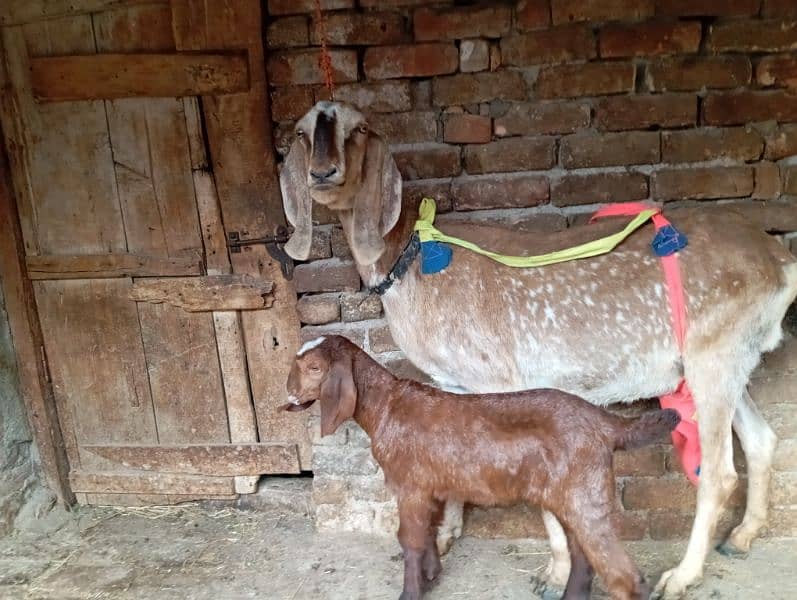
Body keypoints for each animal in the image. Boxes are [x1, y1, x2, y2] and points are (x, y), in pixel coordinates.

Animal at [280, 101, 796, 596]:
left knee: (719, 473)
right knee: (761, 439)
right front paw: (445, 538)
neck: (413, 260)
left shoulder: (499, 379)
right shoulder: (453, 382)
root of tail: (779, 261)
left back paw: (682, 576)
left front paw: (553, 573)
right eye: (303, 132)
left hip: (714, 354)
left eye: (358, 129)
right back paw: (741, 538)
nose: (322, 172)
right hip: (731, 358)